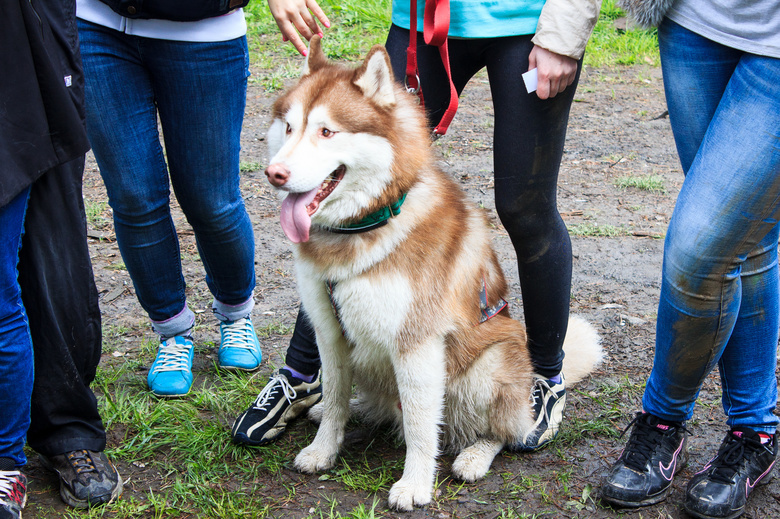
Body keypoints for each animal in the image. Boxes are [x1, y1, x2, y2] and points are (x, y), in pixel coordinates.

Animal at [264, 36, 604, 512]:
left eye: (327, 132)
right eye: (289, 127)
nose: (274, 174)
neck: (369, 222)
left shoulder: (417, 345)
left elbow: (422, 426)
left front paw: (415, 484)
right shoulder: (329, 332)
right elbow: (332, 400)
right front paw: (323, 449)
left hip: (490, 365)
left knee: (505, 429)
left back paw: (476, 455)